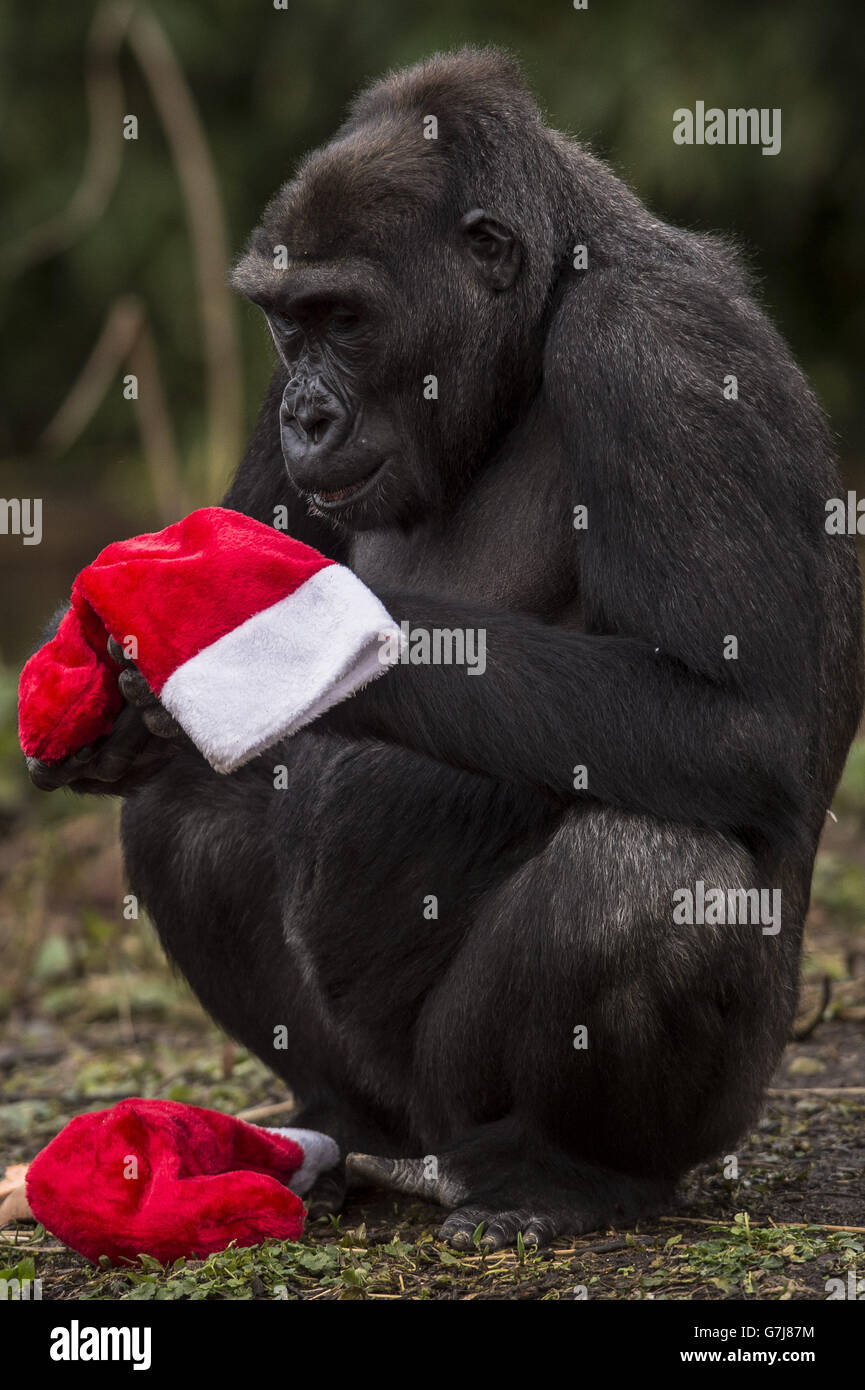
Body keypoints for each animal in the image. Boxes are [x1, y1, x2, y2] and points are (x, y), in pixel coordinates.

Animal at [25, 51, 862, 1251]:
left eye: (344, 317)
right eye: (288, 326)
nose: (309, 415)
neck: (541, 311)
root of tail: (424, 1146)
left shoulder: (658, 345)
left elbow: (732, 719)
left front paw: (248, 602)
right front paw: (132, 704)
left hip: (582, 1104)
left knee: (647, 876)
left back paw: (567, 1173)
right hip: (386, 1095)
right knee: (183, 821)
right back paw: (325, 1124)